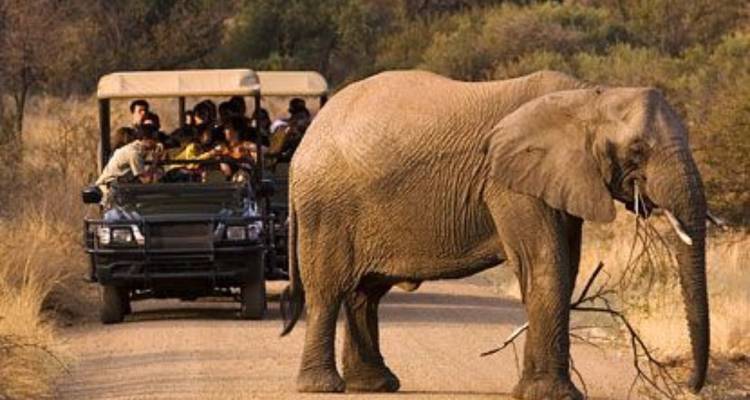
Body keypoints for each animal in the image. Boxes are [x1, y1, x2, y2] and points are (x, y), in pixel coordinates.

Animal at [279, 70, 710, 400]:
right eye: (637, 150)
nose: (689, 386)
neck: (587, 95)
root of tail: (306, 143)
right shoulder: (508, 183)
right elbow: (545, 264)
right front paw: (553, 395)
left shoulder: (556, 179)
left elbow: (565, 268)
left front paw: (533, 391)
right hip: (327, 209)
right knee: (328, 291)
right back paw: (323, 387)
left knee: (365, 294)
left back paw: (375, 385)